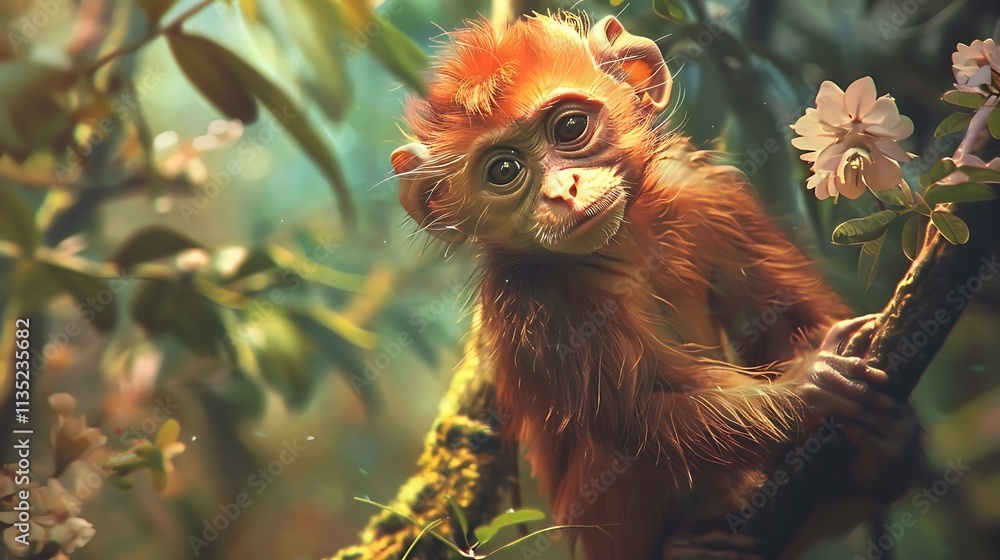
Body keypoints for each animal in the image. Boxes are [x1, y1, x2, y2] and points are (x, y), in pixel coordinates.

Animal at [391, 13, 918, 560]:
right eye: (503, 170)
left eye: (570, 128)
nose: (563, 191)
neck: (624, 247)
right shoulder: (534, 298)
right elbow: (640, 421)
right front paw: (809, 389)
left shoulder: (705, 193)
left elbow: (793, 321)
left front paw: (881, 427)